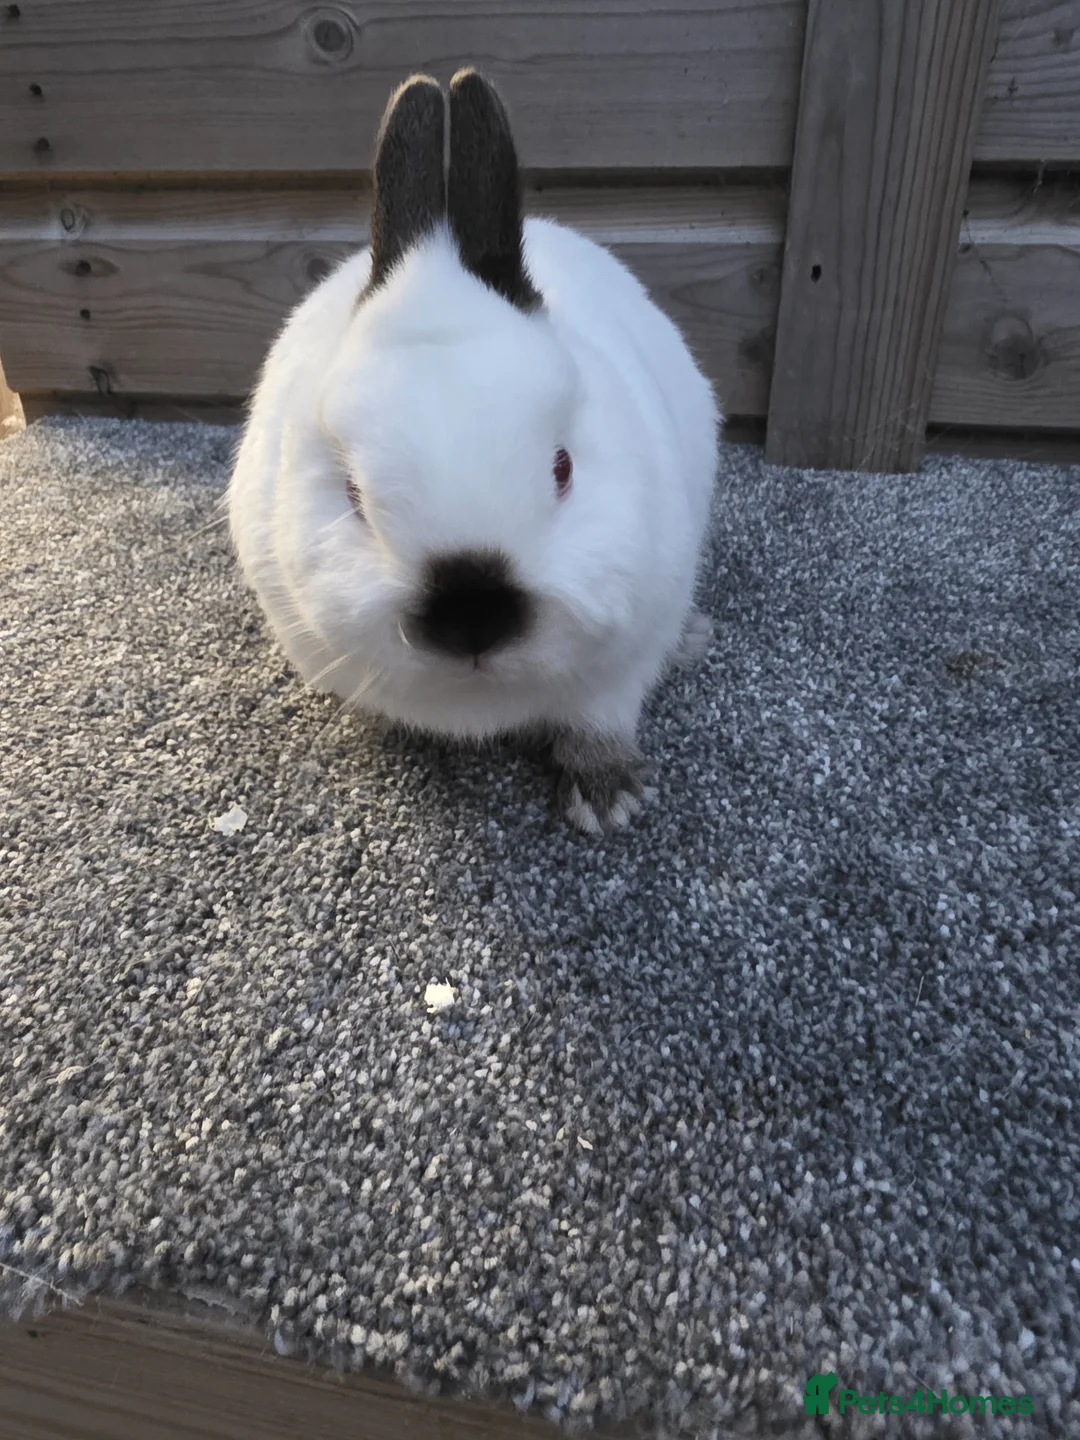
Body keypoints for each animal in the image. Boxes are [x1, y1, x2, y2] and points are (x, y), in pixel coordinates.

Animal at [228, 69, 719, 834]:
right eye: (352, 496)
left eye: (563, 469)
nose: (472, 620)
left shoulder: (627, 652)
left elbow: (600, 718)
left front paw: (607, 801)